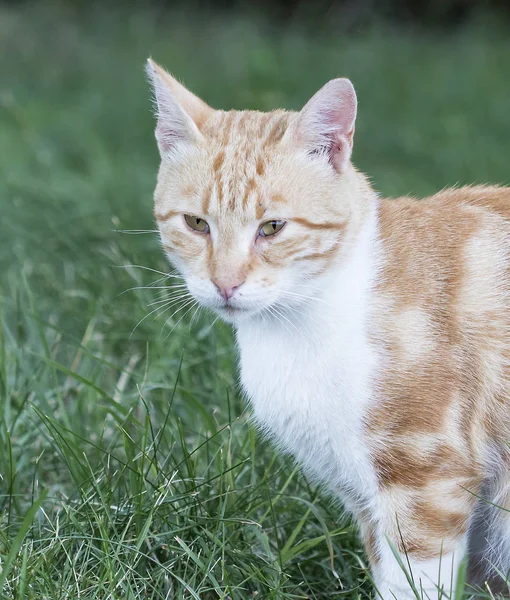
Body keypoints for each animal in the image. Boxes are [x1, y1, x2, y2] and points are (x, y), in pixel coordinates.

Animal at [143, 57, 510, 600]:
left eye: (272, 228)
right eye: (196, 224)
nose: (225, 283)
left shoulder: (427, 479)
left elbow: (414, 583)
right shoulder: (367, 499)